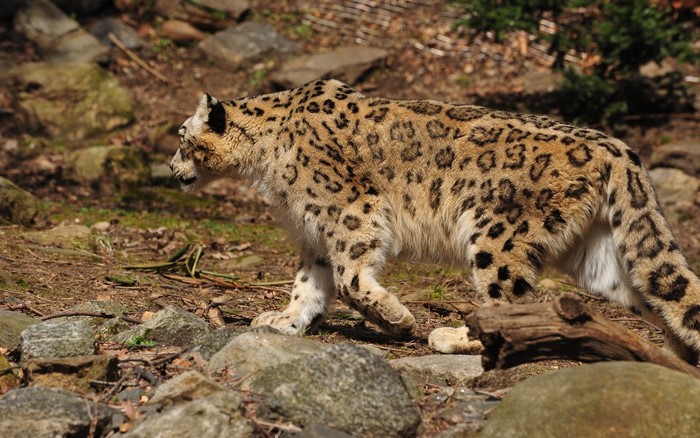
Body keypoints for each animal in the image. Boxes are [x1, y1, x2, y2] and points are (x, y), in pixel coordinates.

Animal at [170, 79, 700, 363]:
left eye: (180, 137)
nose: (172, 169)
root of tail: (617, 147)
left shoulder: (350, 212)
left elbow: (349, 278)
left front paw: (397, 319)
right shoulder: (315, 231)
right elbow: (310, 282)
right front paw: (285, 320)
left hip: (498, 236)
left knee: (504, 297)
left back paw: (453, 335)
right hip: (601, 257)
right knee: (660, 292)